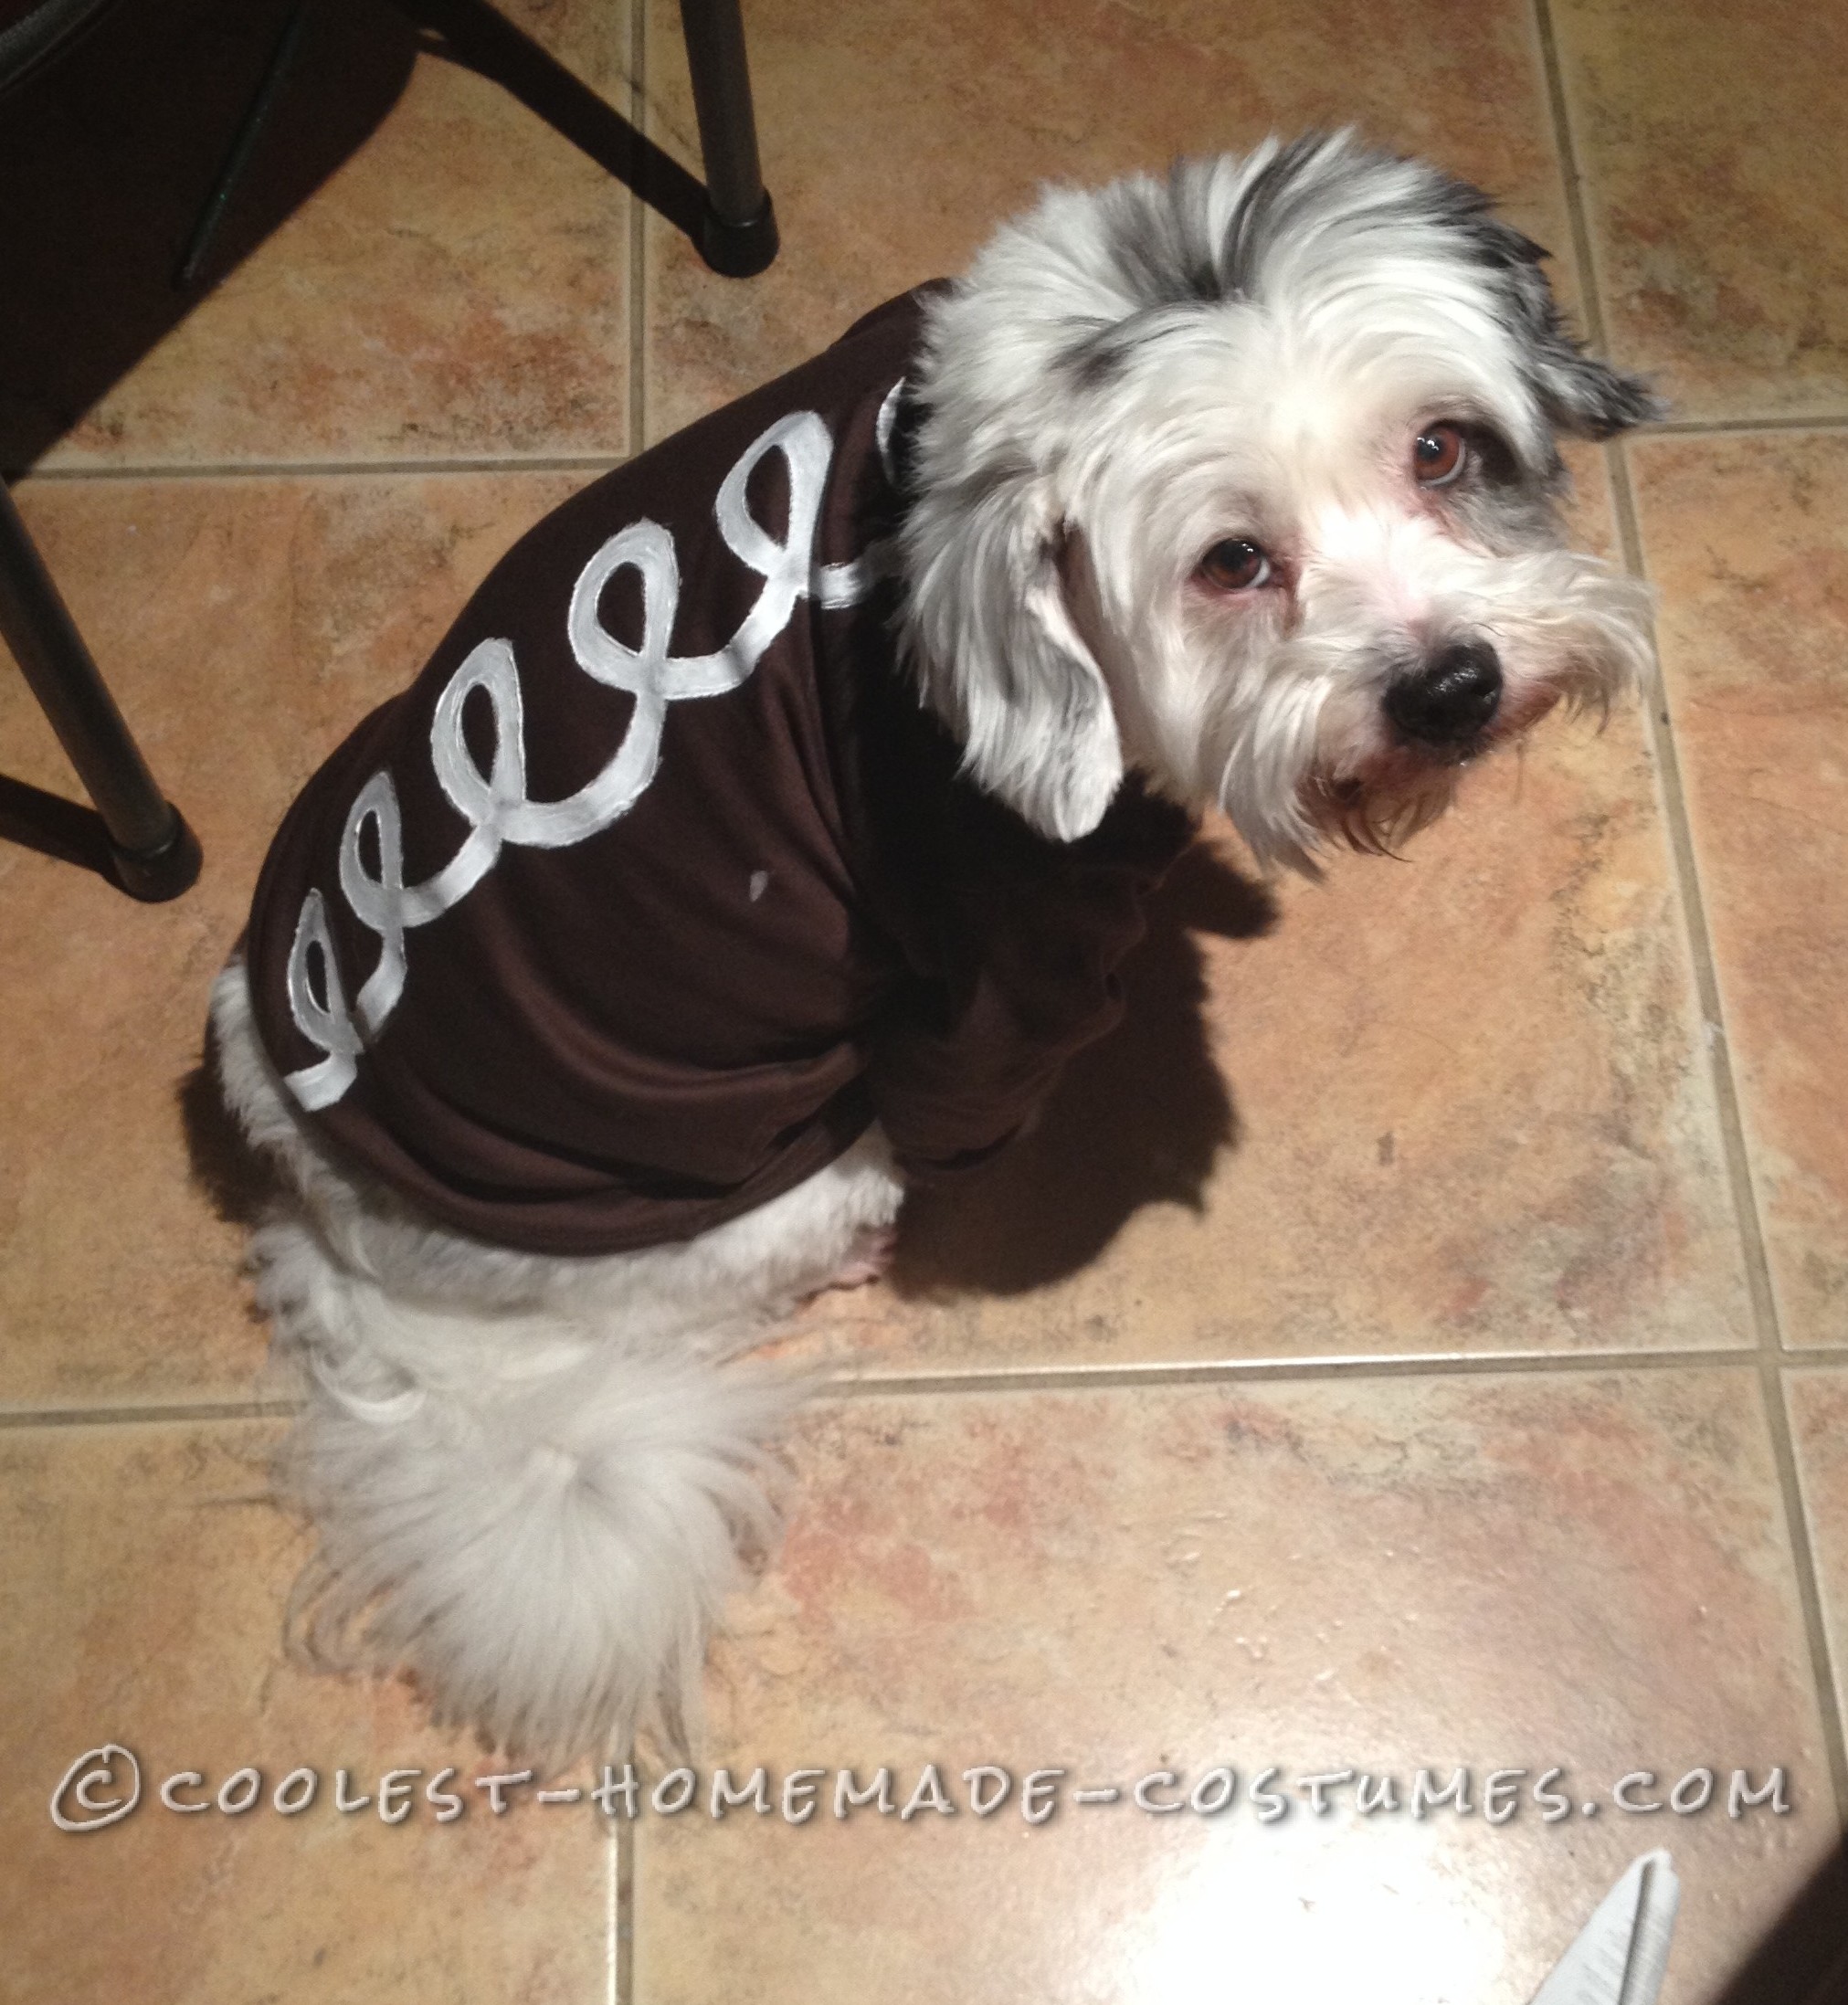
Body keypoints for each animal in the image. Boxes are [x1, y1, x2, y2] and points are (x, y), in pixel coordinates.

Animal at [208, 132, 1651, 1764]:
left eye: (1441, 452)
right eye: (1231, 561)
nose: (1450, 687)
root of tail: (338, 1231)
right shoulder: (1010, 951)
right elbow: (976, 1092)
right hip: (768, 1188)